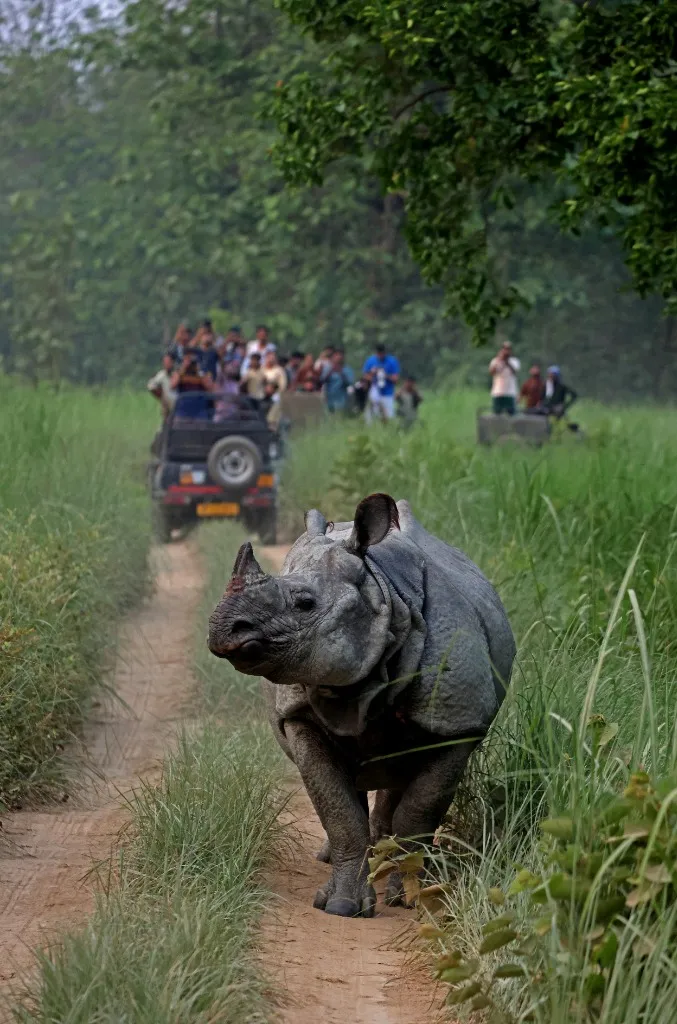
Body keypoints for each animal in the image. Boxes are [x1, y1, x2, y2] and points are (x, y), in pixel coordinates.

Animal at [208, 493, 515, 918]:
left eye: (306, 604)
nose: (225, 627)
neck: (383, 595)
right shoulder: (299, 715)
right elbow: (338, 810)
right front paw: (341, 905)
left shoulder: (456, 724)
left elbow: (419, 810)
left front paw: (409, 897)